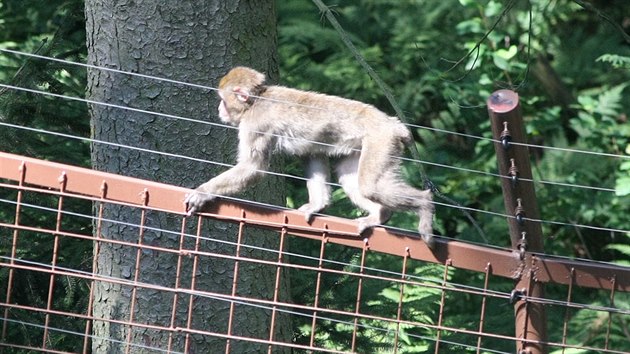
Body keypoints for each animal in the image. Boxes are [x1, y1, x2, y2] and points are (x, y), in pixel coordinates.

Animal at [185, 67, 436, 249]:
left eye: (223, 100)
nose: (219, 109)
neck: (257, 100)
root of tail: (393, 123)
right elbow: (312, 153)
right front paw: (318, 204)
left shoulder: (255, 124)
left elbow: (252, 168)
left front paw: (203, 192)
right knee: (350, 177)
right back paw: (380, 214)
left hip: (381, 141)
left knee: (370, 186)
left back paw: (424, 205)